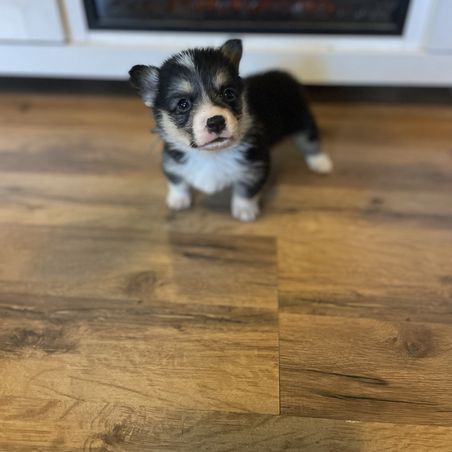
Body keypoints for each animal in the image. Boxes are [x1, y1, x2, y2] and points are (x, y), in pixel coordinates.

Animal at [129, 39, 332, 221]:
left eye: (229, 93)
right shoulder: (171, 161)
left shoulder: (255, 167)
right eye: (183, 104)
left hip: (301, 118)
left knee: (310, 138)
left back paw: (320, 162)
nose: (216, 122)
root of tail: (284, 75)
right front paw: (178, 200)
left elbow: (246, 191)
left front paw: (245, 211)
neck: (212, 154)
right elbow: (177, 181)